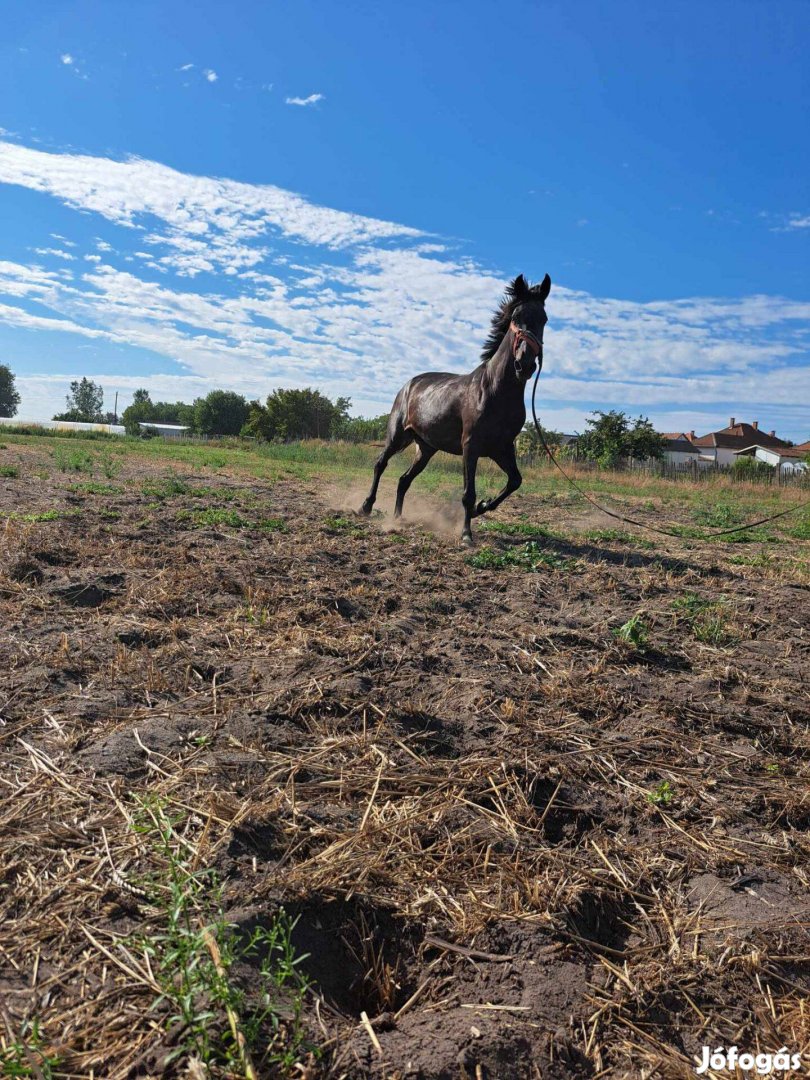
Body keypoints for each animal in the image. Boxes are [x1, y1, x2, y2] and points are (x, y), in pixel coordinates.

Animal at [360, 270, 552, 540]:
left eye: (544, 319)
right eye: (516, 317)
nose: (524, 365)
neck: (495, 392)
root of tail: (408, 384)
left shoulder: (502, 448)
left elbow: (515, 481)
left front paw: (482, 507)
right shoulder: (470, 445)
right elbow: (468, 493)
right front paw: (466, 533)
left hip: (425, 448)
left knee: (404, 480)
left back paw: (398, 518)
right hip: (398, 436)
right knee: (380, 464)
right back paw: (366, 507)